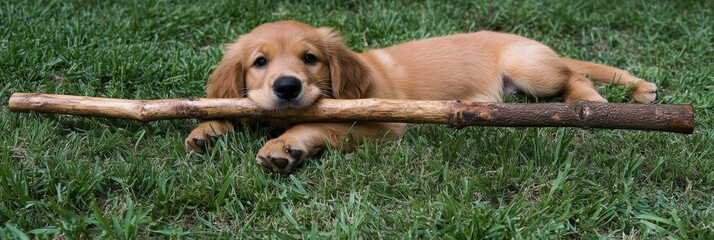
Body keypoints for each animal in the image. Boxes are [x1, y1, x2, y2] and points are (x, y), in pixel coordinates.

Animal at [184, 20, 656, 173]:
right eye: (260, 62)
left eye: (310, 58)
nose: (287, 87)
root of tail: (536, 44)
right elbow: (226, 109)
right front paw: (208, 127)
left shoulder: (385, 125)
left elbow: (319, 122)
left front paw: (285, 145)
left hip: (529, 68)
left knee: (574, 74)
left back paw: (592, 103)